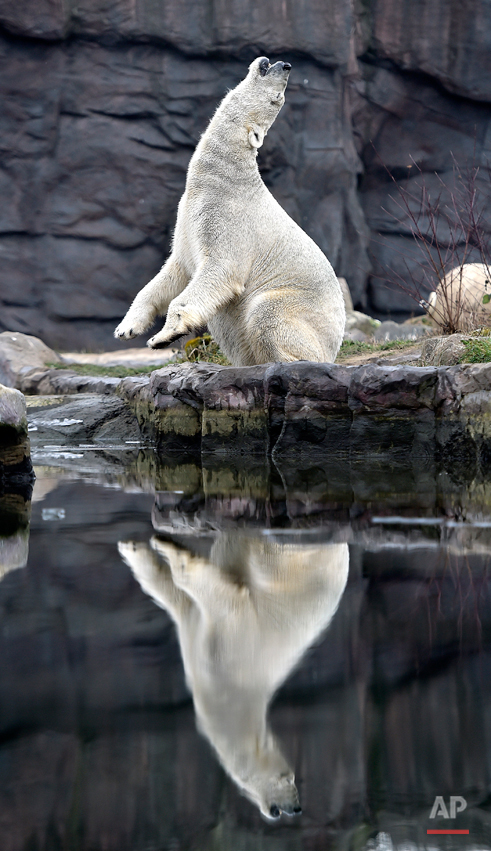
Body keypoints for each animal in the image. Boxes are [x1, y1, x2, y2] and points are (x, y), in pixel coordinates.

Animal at [115, 58, 346, 364]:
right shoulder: (187, 221)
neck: (222, 178)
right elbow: (174, 272)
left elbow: (221, 269)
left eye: (278, 98)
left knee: (267, 313)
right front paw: (126, 328)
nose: (285, 65)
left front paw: (162, 336)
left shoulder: (227, 216)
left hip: (302, 309)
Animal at [118, 532, 350, 820]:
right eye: (277, 810)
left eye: (291, 780)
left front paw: (168, 549)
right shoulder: (198, 634)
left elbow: (220, 594)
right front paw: (133, 549)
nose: (295, 808)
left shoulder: (232, 642)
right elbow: (174, 596)